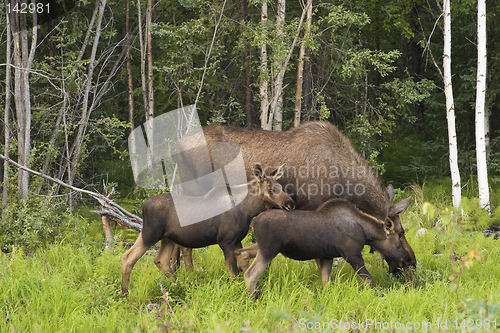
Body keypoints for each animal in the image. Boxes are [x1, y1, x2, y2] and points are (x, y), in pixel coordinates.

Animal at [175, 120, 414, 274]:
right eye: (401, 232)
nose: (411, 262)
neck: (345, 184)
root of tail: (175, 145)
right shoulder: (314, 207)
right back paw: (190, 276)